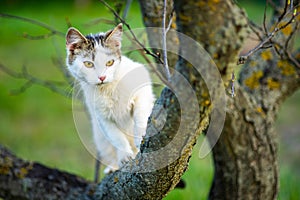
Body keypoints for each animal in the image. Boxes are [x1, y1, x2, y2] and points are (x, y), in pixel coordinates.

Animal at [65, 23, 155, 176]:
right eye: (88, 64)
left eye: (110, 62)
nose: (102, 77)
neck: (107, 89)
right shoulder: (101, 117)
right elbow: (116, 137)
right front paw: (124, 156)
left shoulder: (143, 89)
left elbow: (140, 115)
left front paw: (141, 135)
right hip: (100, 138)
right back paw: (113, 167)